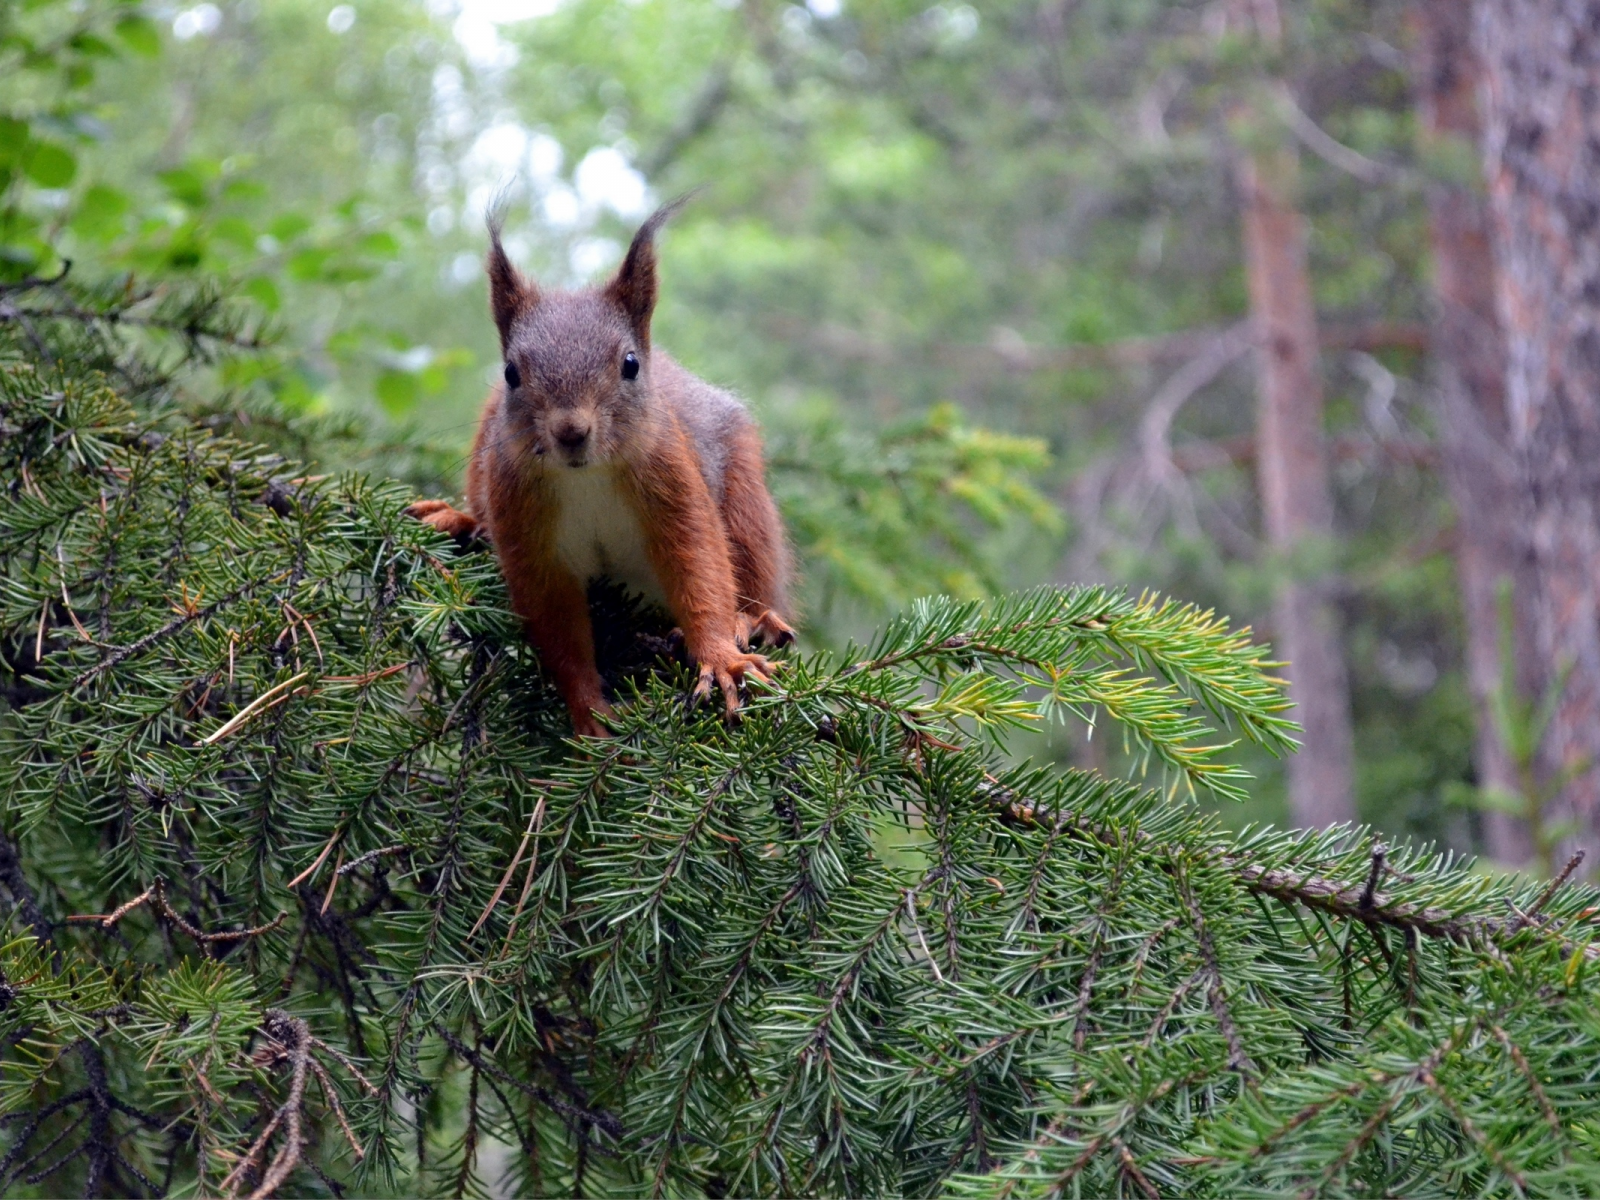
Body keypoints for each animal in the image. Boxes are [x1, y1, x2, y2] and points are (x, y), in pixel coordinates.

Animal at [406, 202, 793, 739]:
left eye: (630, 364)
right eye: (510, 373)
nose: (571, 431)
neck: (584, 476)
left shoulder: (673, 485)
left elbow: (699, 565)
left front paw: (721, 658)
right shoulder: (525, 528)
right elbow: (558, 629)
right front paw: (589, 712)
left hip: (743, 495)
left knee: (753, 569)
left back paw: (752, 622)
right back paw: (459, 520)